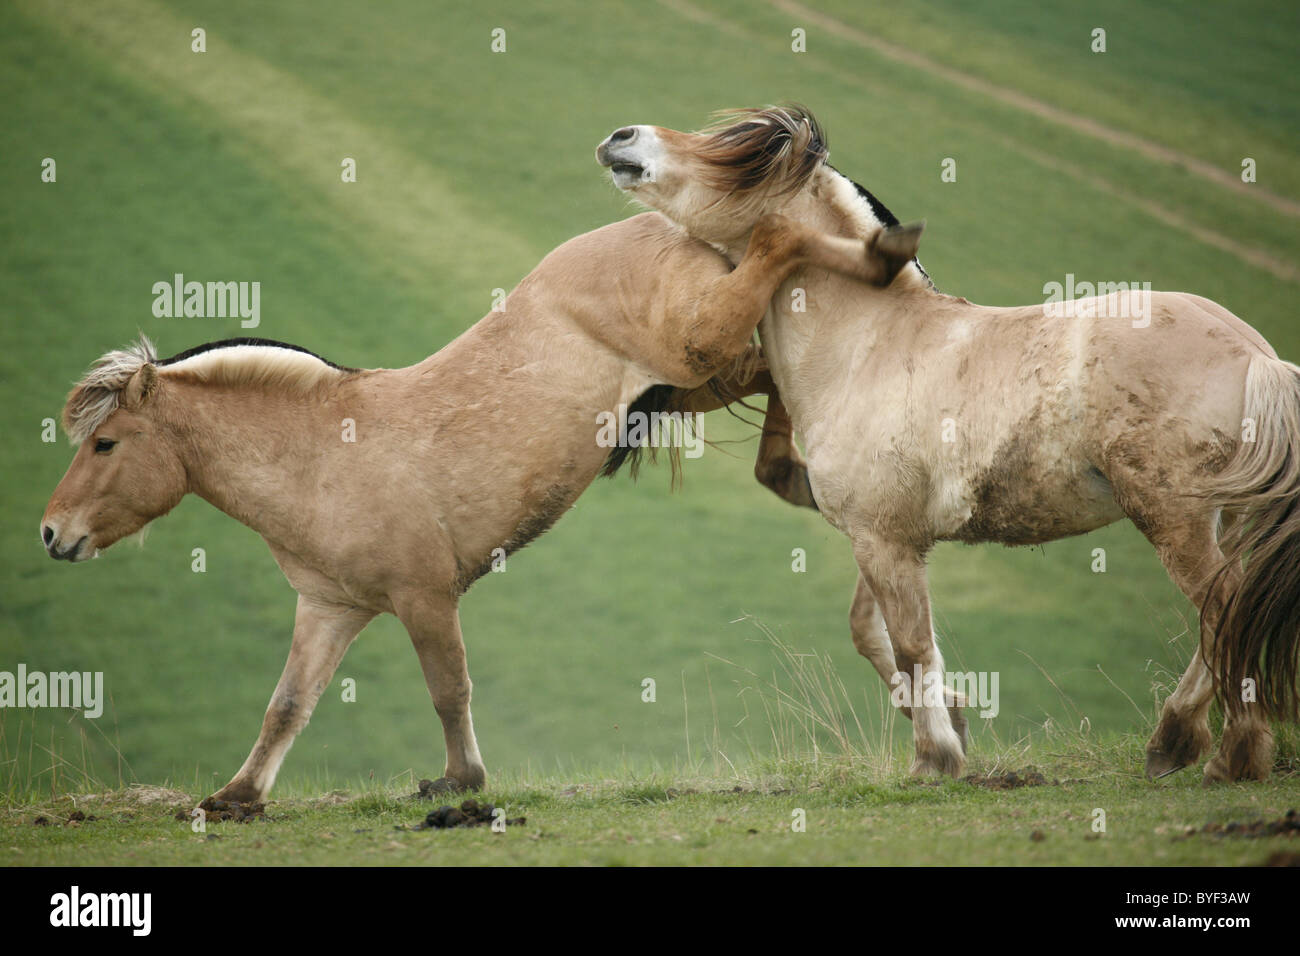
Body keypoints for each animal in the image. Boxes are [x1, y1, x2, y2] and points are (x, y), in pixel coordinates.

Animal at [43, 205, 915, 806]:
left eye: (105, 443)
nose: (53, 534)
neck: (322, 455)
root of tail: (654, 221)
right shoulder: (331, 607)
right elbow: (288, 705)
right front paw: (237, 797)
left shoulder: (424, 596)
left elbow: (448, 688)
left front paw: (460, 782)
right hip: (702, 376)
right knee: (776, 367)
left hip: (704, 345)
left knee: (779, 240)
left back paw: (884, 256)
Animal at [598, 104, 1300, 780]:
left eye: (734, 159)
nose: (620, 137)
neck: (868, 344)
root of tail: (1257, 356)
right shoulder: (885, 538)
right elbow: (874, 634)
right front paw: (953, 721)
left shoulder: (884, 540)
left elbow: (912, 645)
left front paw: (936, 756)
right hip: (1221, 519)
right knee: (1225, 619)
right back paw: (1175, 742)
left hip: (1173, 518)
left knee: (1225, 610)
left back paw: (1232, 756)